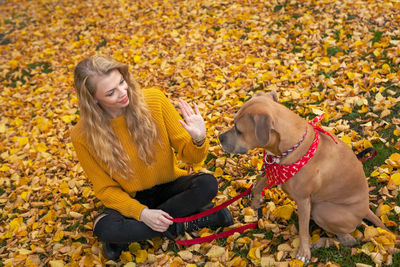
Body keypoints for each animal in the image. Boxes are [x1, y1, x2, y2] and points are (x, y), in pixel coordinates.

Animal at [219, 91, 388, 262]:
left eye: (238, 130)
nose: (219, 138)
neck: (288, 148)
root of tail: (366, 209)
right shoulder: (274, 167)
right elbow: (258, 184)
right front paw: (255, 202)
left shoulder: (303, 200)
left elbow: (303, 230)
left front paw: (303, 252)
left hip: (322, 209)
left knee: (350, 240)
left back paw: (320, 243)